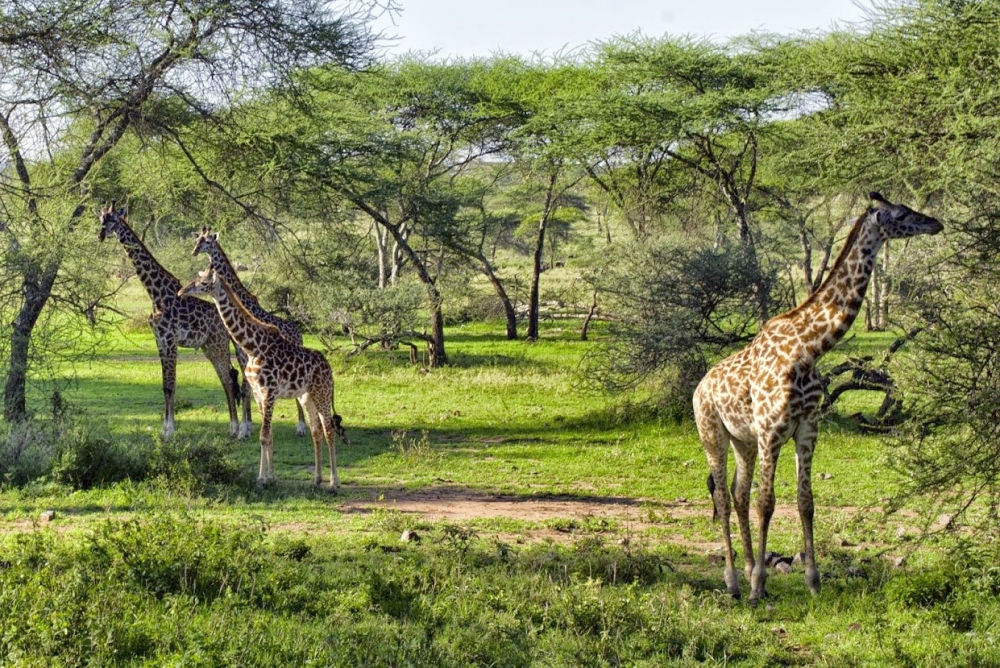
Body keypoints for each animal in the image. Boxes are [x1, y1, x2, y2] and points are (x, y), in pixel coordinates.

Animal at [97, 206, 252, 440]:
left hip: (218, 345)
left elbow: (171, 384)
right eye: (100, 219)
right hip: (208, 347)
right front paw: (164, 429)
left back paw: (235, 428)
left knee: (228, 379)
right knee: (230, 378)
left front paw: (169, 430)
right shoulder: (159, 340)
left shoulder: (170, 340)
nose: (101, 234)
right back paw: (238, 426)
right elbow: (165, 385)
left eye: (113, 220)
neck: (156, 294)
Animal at [179, 266, 348, 490]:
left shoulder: (269, 391)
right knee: (316, 430)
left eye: (203, 283)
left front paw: (262, 479)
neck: (252, 347)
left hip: (322, 393)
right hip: (306, 397)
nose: (182, 291)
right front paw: (269, 477)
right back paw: (317, 479)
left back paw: (334, 483)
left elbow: (264, 435)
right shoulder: (259, 393)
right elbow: (267, 436)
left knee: (328, 429)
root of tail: (329, 368)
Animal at [192, 230, 308, 438]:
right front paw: (247, 426)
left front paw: (244, 429)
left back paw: (301, 427)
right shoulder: (240, 354)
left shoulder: (248, 355)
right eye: (197, 240)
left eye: (207, 242)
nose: (194, 251)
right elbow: (246, 389)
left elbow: (246, 388)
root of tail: (299, 333)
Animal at [696, 192, 944, 600]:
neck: (809, 348)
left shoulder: (807, 428)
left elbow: (805, 502)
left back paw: (746, 568)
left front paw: (813, 582)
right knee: (723, 497)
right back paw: (734, 582)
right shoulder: (772, 431)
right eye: (901, 213)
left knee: (738, 493)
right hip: (711, 433)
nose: (936, 223)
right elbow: (768, 503)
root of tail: (700, 387)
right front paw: (759, 586)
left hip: (742, 440)